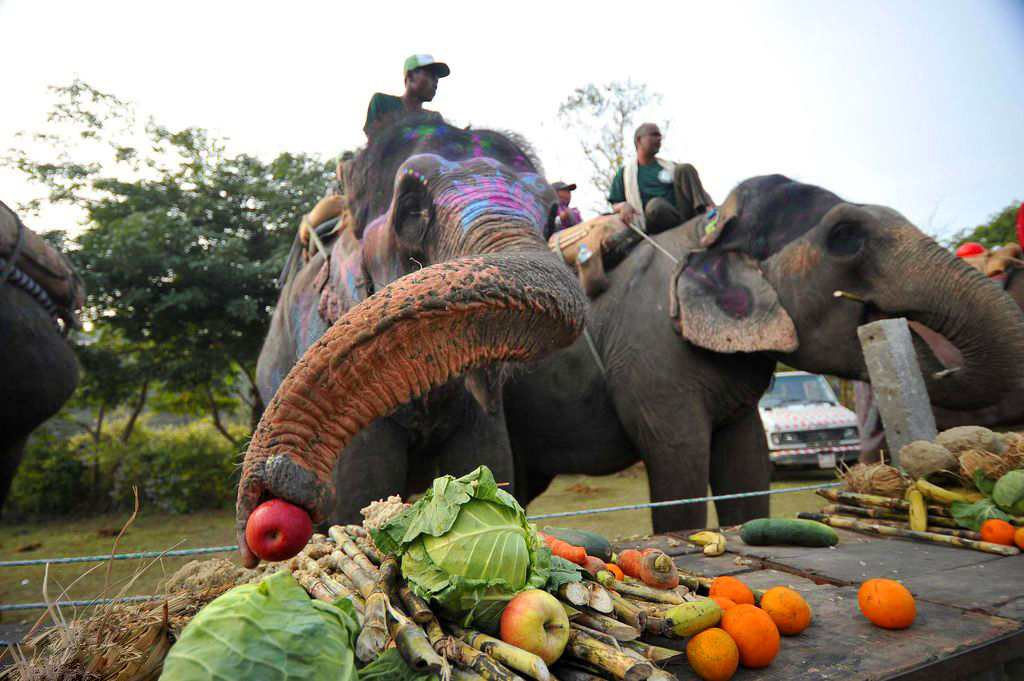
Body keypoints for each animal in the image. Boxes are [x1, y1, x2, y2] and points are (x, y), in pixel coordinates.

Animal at [499, 173, 1024, 532]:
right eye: (845, 238)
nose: (943, 371)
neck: (709, 228)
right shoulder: (650, 358)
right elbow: (679, 463)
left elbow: (748, 461)